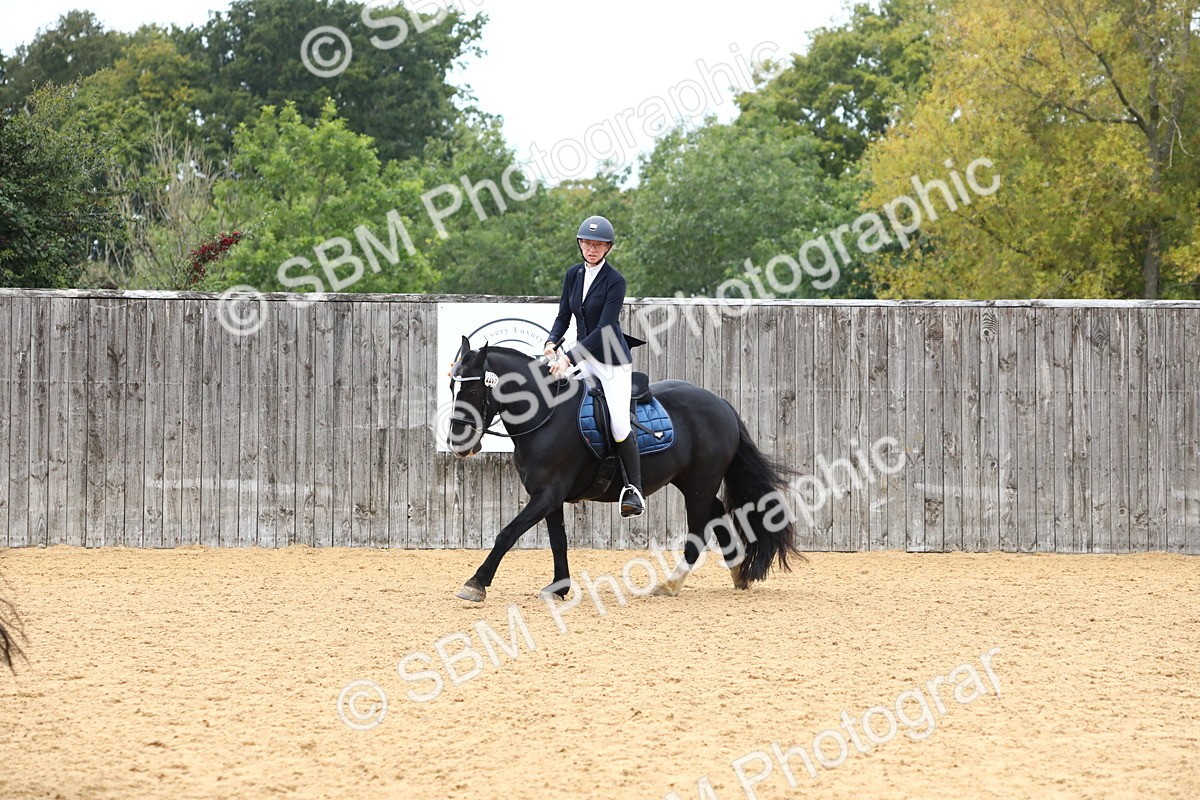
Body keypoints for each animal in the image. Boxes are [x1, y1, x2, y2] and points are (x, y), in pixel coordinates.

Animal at [445, 336, 803, 602]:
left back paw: (670, 584)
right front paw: (559, 588)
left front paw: (476, 583)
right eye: (452, 389)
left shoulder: (547, 495)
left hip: (700, 484)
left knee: (699, 530)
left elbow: (507, 533)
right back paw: (738, 571)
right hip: (691, 482)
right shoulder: (548, 497)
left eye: (474, 390)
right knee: (716, 513)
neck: (546, 415)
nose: (458, 444)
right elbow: (558, 541)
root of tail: (722, 404)